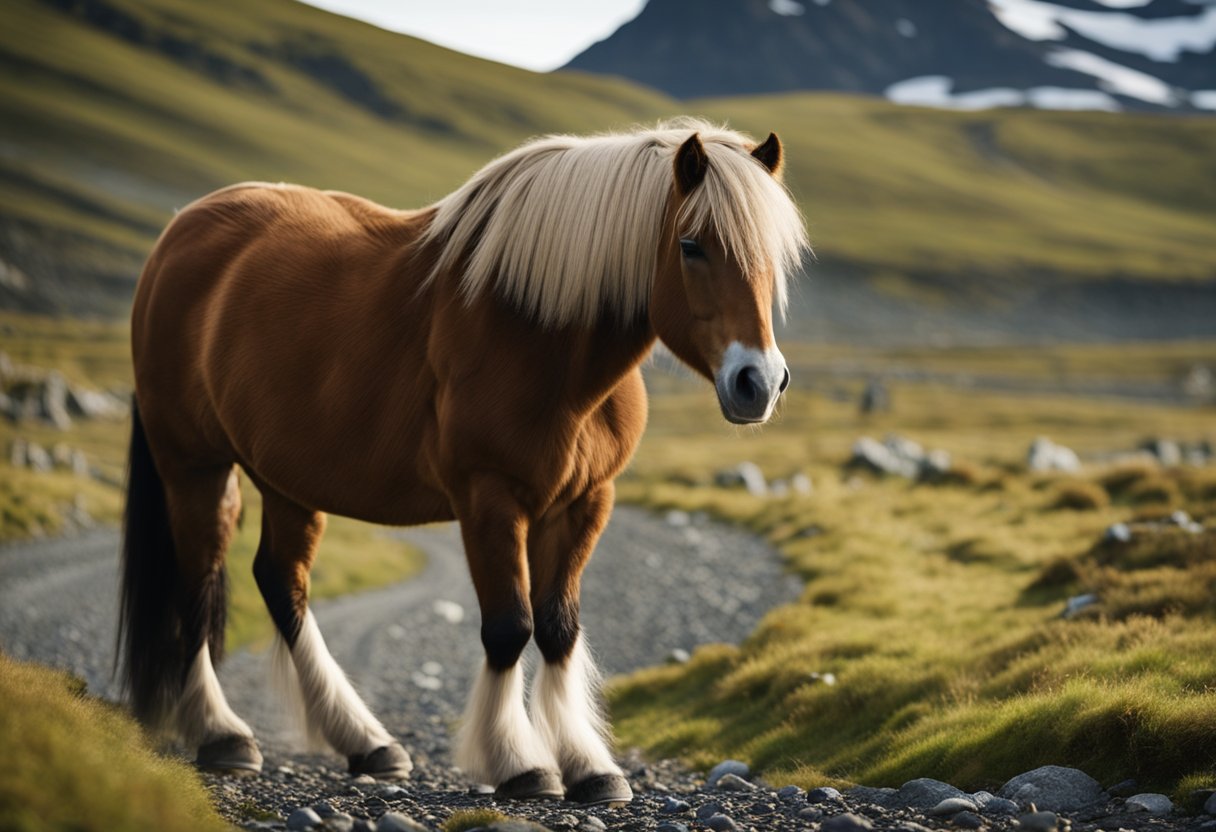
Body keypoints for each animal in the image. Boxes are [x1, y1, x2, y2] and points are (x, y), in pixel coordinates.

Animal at [120, 118, 807, 807]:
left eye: (774, 254)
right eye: (692, 245)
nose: (758, 382)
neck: (537, 333)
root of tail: (178, 236)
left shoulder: (585, 503)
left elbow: (558, 628)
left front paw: (589, 767)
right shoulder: (488, 498)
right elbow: (508, 626)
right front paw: (519, 763)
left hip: (287, 481)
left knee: (280, 583)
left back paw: (366, 742)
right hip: (196, 467)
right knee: (198, 586)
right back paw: (223, 734)